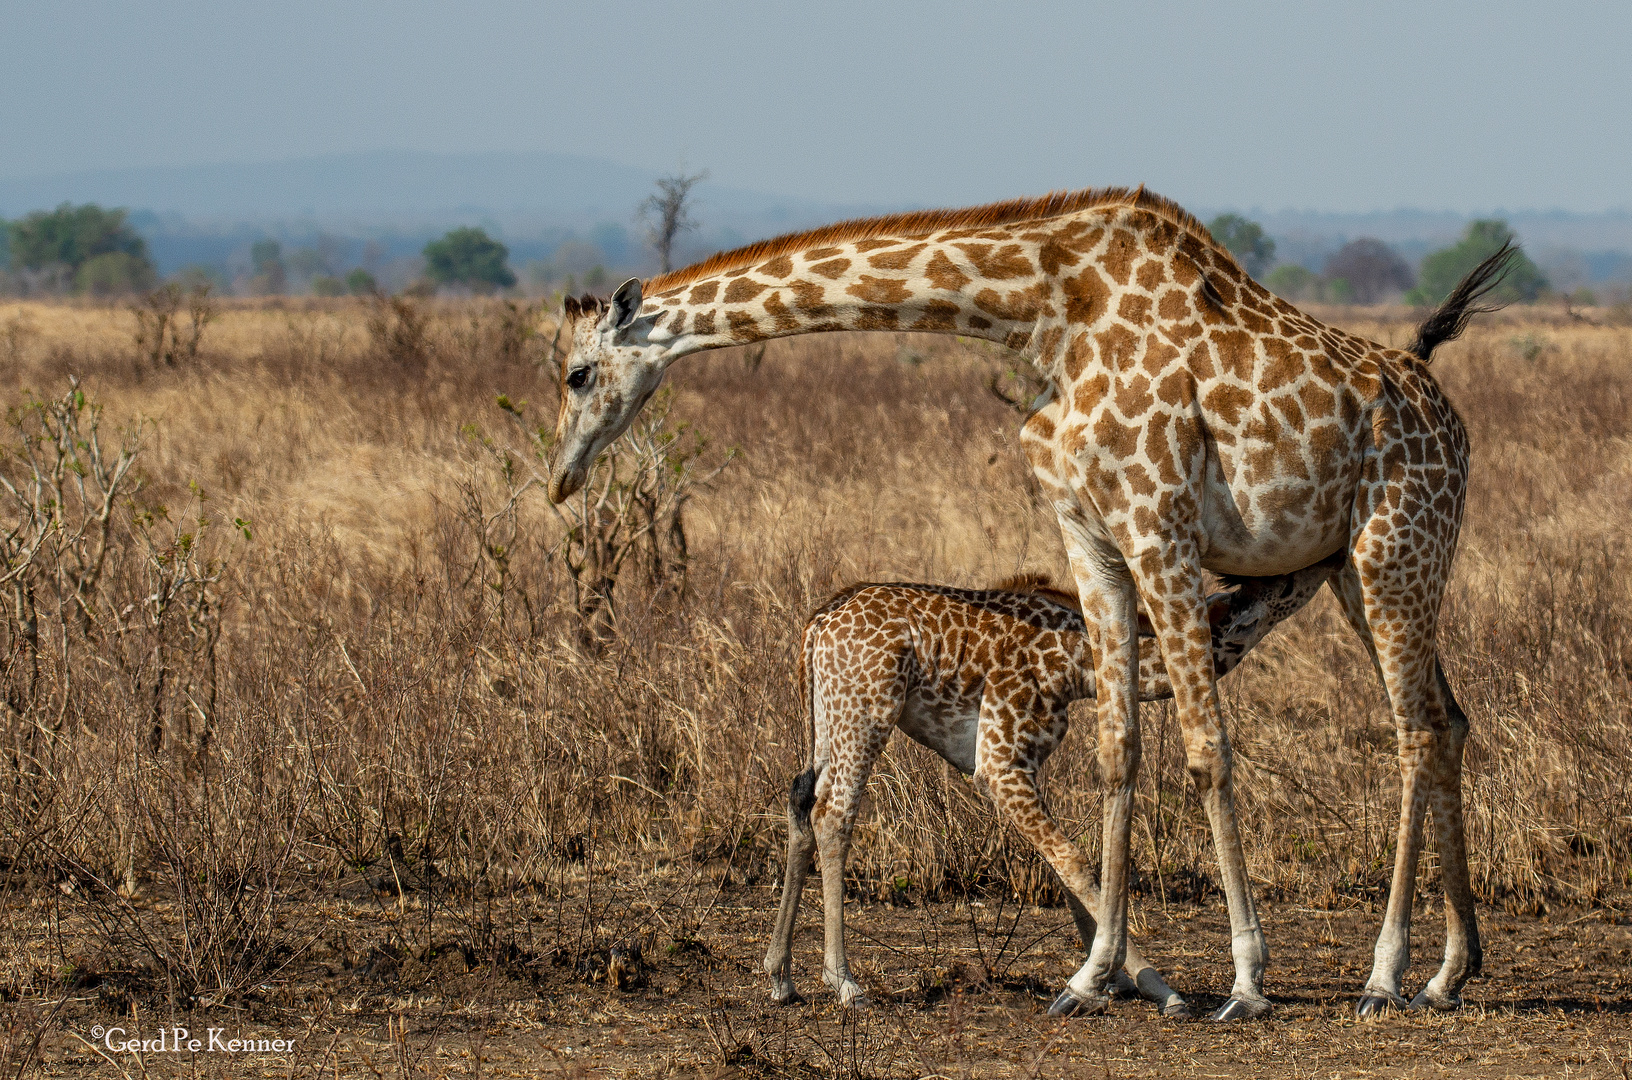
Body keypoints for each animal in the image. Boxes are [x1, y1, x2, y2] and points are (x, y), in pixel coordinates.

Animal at [763, 554, 1338, 1018]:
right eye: (1279, 580)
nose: (1322, 561)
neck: (1077, 663)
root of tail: (816, 626)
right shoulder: (998, 762)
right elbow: (1076, 861)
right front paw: (1154, 988)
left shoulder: (1023, 763)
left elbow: (1062, 868)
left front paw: (1111, 979)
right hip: (866, 711)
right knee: (834, 814)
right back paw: (844, 984)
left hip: (828, 719)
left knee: (800, 802)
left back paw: (780, 977)